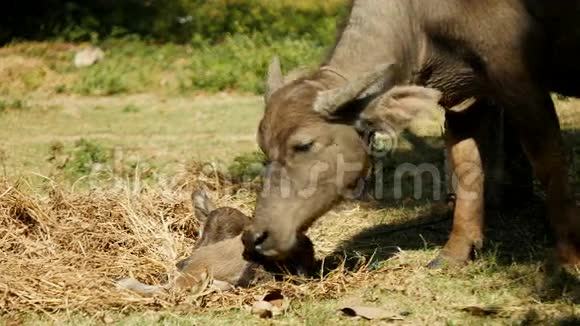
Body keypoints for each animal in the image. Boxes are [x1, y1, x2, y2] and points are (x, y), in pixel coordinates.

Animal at [240, 0, 580, 268]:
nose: (254, 236)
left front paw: (569, 258)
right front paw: (455, 252)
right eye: (264, 147)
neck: (417, 17)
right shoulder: (465, 99)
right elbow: (467, 170)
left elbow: (549, 163)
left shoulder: (519, 80)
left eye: (304, 145)